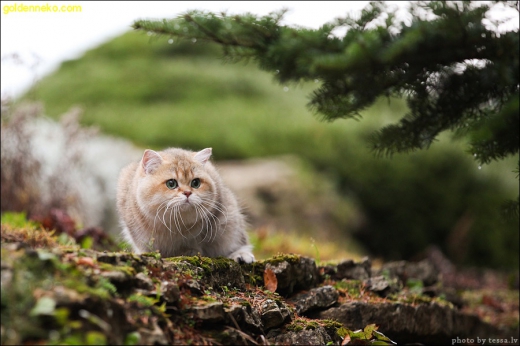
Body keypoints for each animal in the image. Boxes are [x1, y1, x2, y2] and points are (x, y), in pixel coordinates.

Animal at [118, 147, 256, 264]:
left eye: (195, 183)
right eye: (171, 183)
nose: (188, 193)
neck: (173, 224)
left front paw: (189, 251)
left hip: (230, 220)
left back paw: (241, 255)